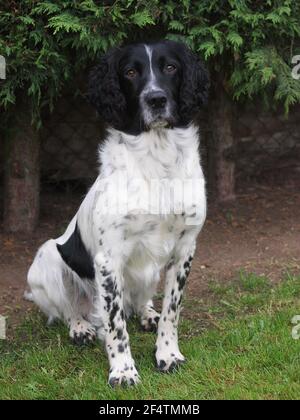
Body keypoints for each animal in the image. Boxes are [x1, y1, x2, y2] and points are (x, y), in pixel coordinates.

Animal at [27, 40, 210, 388]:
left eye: (171, 67)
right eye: (130, 72)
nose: (156, 99)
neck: (157, 160)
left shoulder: (185, 249)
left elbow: (172, 310)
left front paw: (168, 355)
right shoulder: (108, 260)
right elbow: (115, 326)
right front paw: (123, 371)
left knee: (139, 301)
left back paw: (147, 313)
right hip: (47, 258)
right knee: (70, 310)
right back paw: (81, 328)